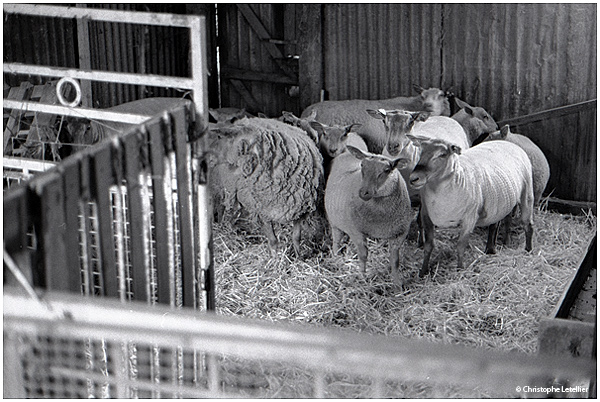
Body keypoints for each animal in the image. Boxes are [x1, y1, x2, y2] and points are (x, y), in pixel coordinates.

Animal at [207, 116, 324, 258]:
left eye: (220, 138)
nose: (207, 158)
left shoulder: (300, 208)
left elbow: (296, 236)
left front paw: (298, 256)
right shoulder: (263, 211)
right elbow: (273, 240)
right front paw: (275, 258)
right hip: (219, 189)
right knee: (220, 207)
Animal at [324, 137, 412, 286]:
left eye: (387, 170)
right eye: (362, 165)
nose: (363, 192)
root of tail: (344, 154)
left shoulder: (400, 233)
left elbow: (395, 260)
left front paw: (397, 283)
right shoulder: (356, 231)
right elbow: (363, 255)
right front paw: (363, 277)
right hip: (335, 222)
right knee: (336, 241)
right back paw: (336, 258)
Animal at [408, 135, 536, 276]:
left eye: (442, 154)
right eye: (421, 152)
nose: (414, 178)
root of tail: (509, 143)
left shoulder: (470, 218)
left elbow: (460, 246)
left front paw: (460, 270)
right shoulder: (426, 215)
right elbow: (428, 245)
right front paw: (423, 272)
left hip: (527, 193)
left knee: (528, 225)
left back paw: (528, 250)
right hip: (497, 202)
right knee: (495, 224)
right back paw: (490, 249)